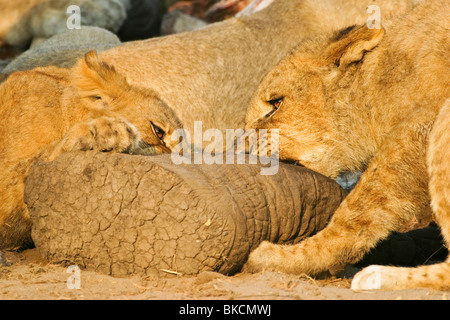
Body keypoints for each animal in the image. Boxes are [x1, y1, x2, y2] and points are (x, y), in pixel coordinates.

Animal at [244, 0, 450, 292]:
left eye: (276, 103)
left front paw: (287, 259)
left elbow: (361, 205)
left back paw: (375, 277)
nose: (241, 151)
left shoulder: (420, 125)